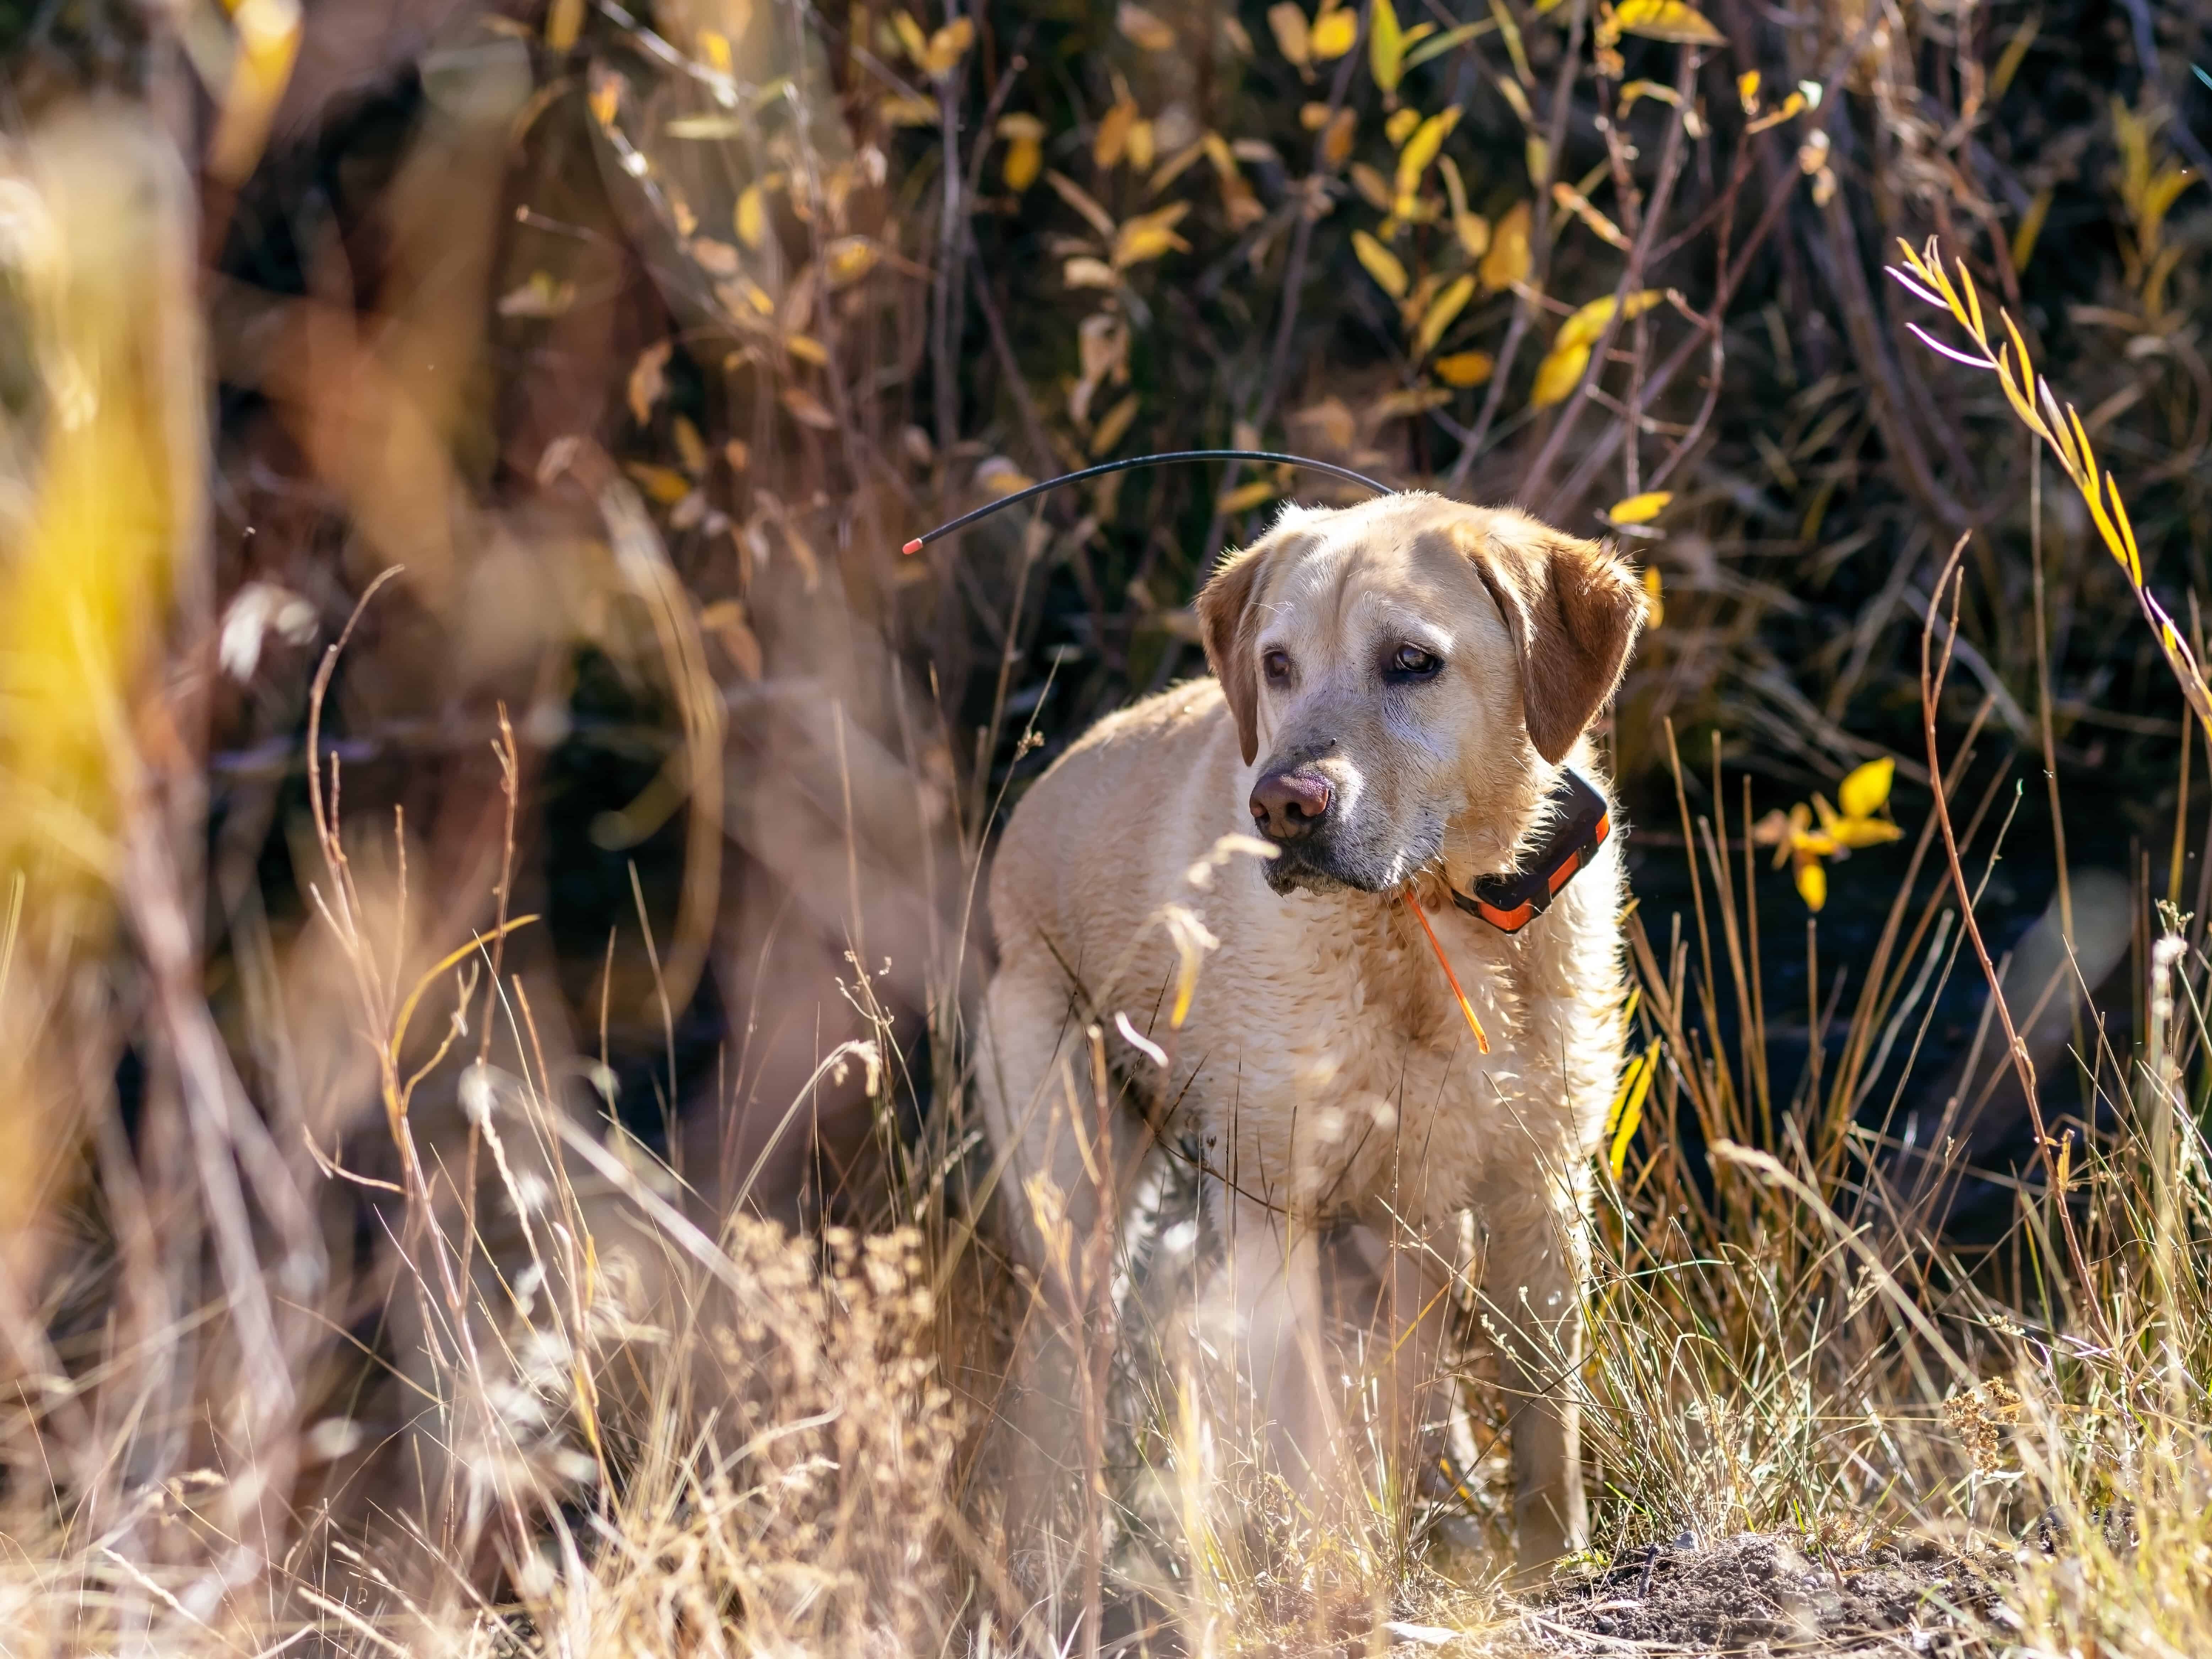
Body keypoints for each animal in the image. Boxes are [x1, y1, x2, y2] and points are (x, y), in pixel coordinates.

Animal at [982, 491, 1645, 1575]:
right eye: (1278, 663)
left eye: (1413, 660)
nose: (1283, 806)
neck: (1424, 926)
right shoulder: (1269, 1198)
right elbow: (1299, 1435)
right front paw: (1316, 1571)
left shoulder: (1540, 1192)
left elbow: (1545, 1421)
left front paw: (1552, 1563)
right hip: (1076, 1197)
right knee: (1064, 1373)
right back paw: (1062, 1551)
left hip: (1418, 1226)